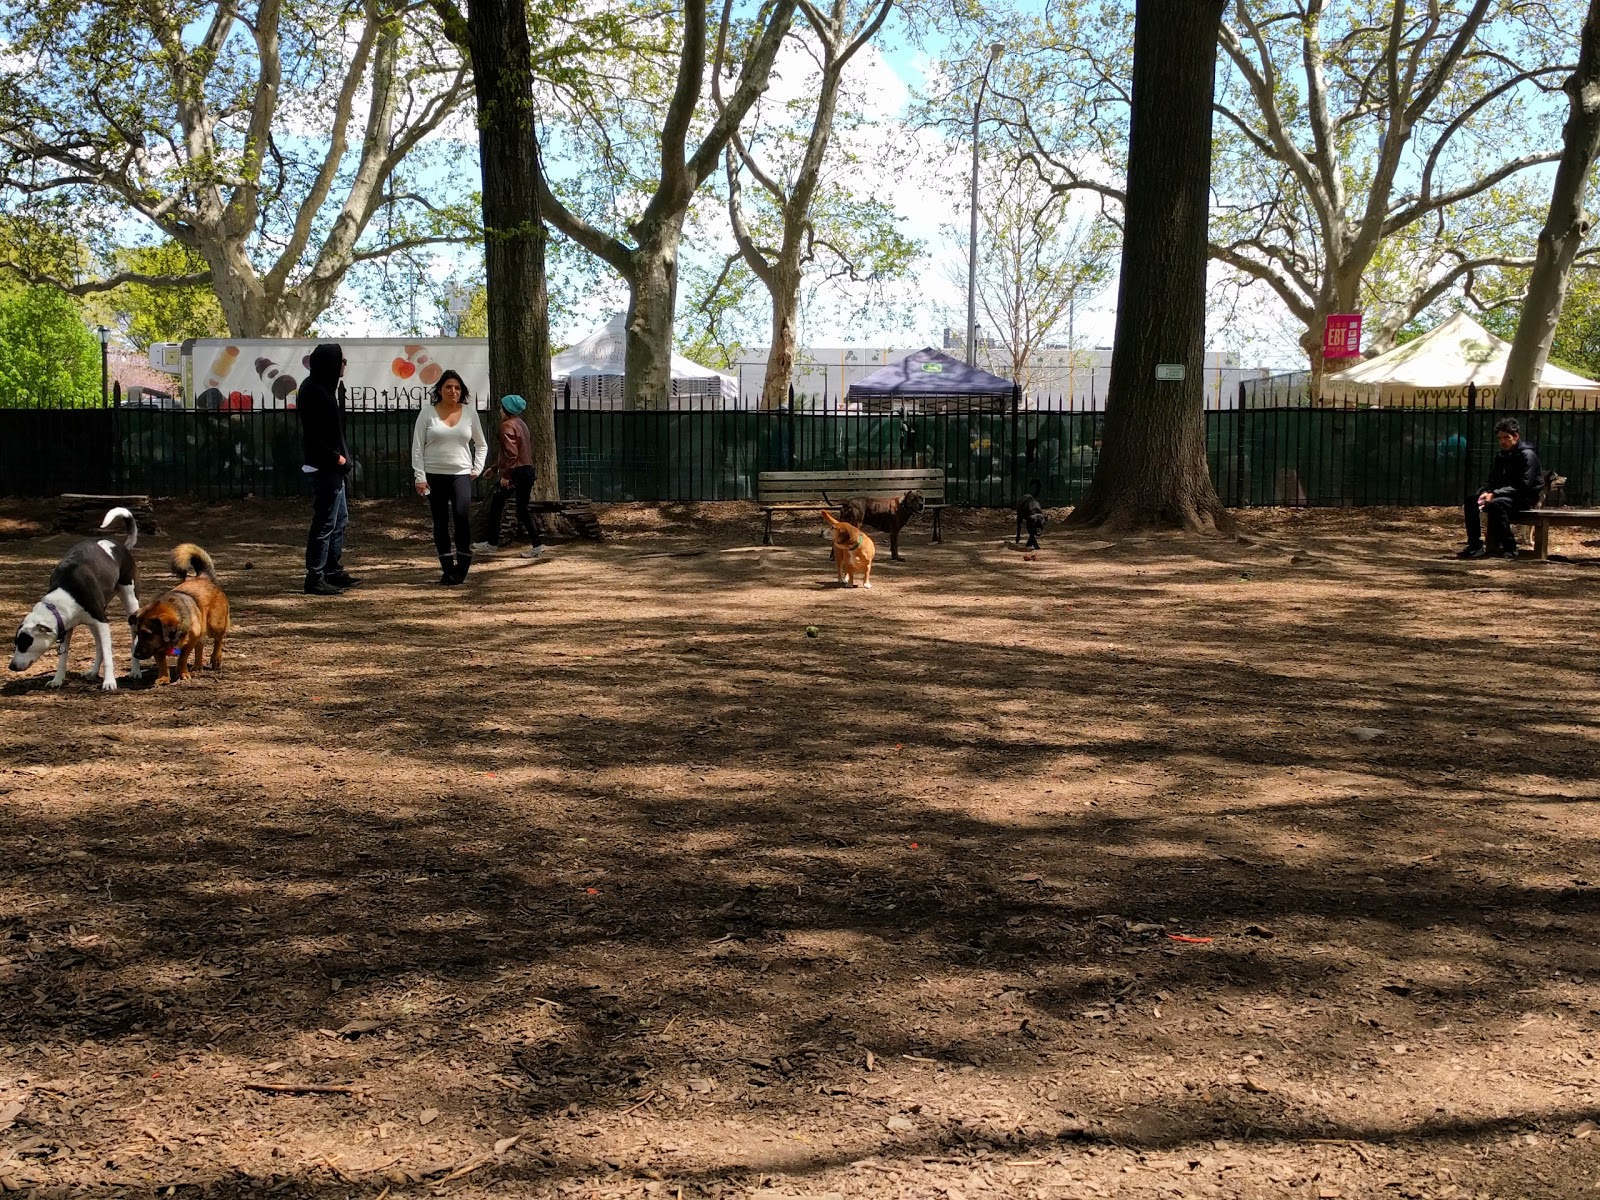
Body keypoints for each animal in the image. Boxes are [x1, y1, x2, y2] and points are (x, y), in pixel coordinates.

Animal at [8, 508, 143, 694]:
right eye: (16, 643)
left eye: (25, 643)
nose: (11, 666)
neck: (66, 592)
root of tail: (122, 546)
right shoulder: (66, 627)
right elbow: (63, 657)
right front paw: (57, 680)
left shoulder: (103, 623)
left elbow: (108, 654)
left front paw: (109, 682)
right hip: (93, 624)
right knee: (98, 646)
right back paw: (93, 672)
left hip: (130, 606)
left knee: (132, 639)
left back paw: (135, 671)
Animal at [129, 544, 232, 684]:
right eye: (137, 633)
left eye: (148, 634)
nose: (136, 655)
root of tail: (204, 577)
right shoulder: (157, 648)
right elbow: (162, 663)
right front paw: (163, 678)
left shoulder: (189, 642)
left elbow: (182, 658)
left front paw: (182, 673)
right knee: (200, 645)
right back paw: (197, 665)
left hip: (215, 625)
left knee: (218, 638)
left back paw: (216, 658)